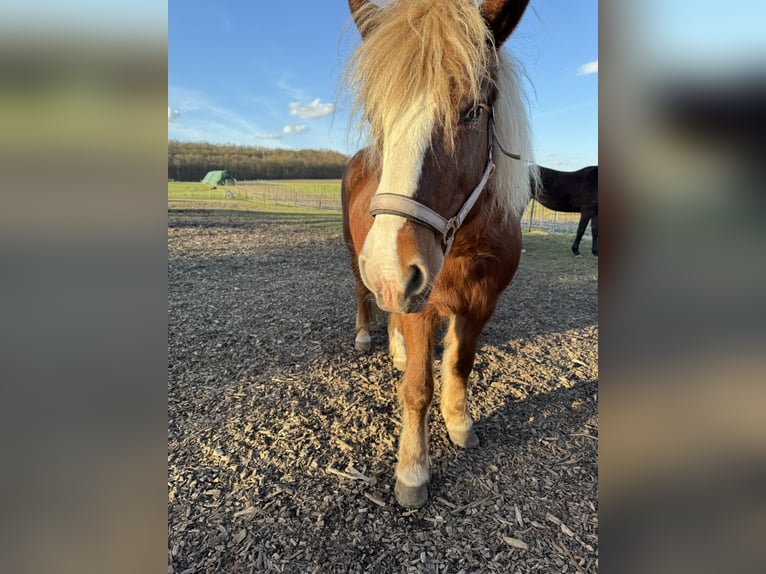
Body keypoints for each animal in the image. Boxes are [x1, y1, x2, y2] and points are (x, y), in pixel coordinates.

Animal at [342, 0, 536, 508]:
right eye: (377, 116)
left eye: (472, 111)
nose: (390, 270)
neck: (465, 244)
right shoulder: (421, 305)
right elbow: (416, 388)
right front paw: (413, 471)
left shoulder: (480, 304)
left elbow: (459, 363)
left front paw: (460, 422)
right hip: (357, 257)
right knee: (364, 296)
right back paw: (367, 336)